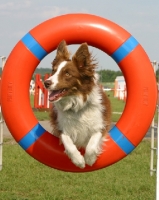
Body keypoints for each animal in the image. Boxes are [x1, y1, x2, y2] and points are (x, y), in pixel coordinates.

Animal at [43, 39, 110, 168]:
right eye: (54, 71)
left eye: (67, 74)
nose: (46, 83)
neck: (75, 103)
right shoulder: (61, 127)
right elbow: (68, 143)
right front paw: (78, 160)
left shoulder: (101, 125)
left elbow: (92, 143)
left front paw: (90, 159)